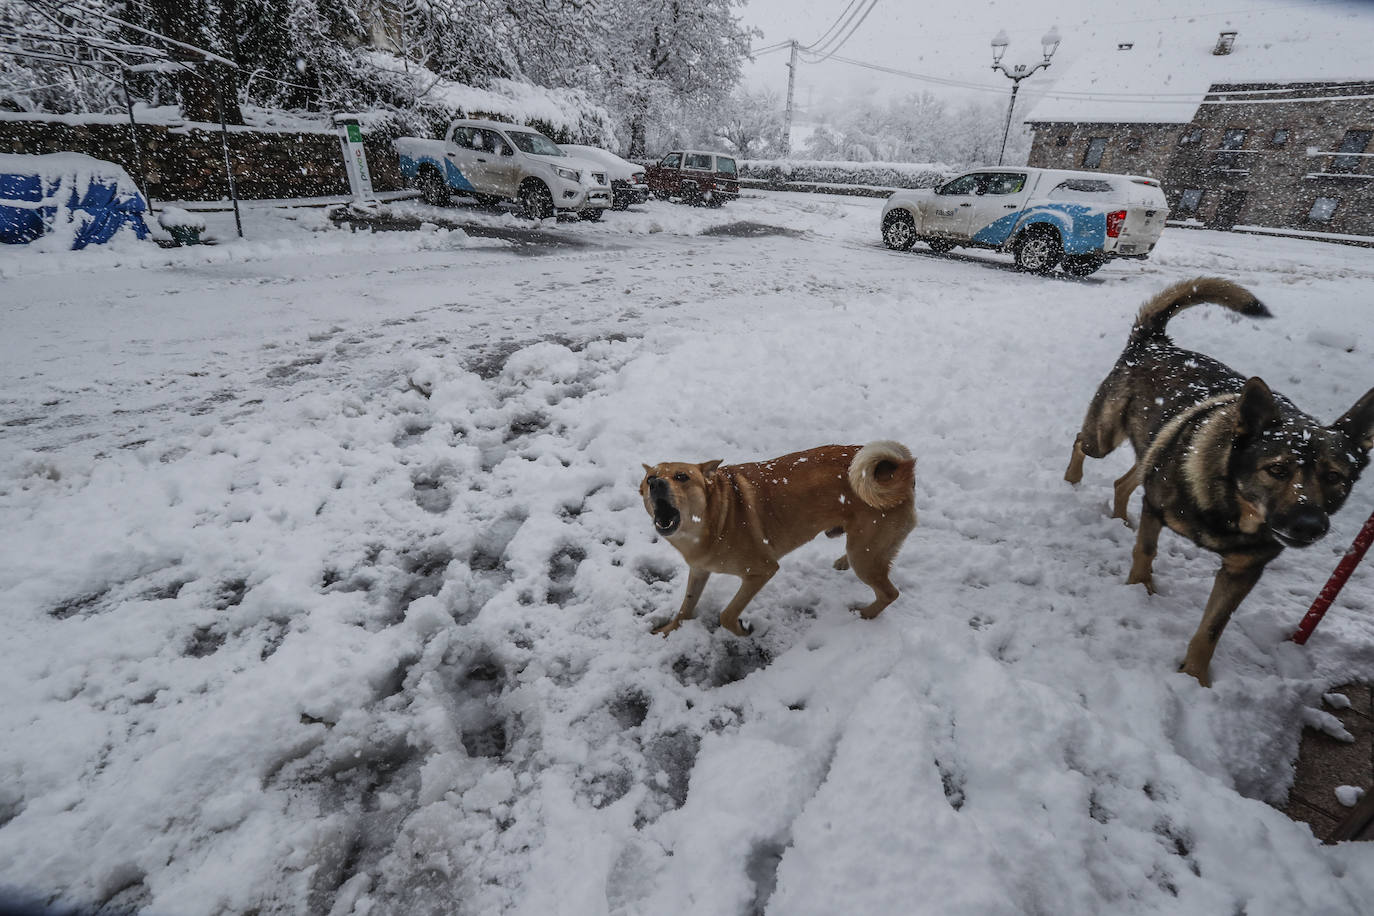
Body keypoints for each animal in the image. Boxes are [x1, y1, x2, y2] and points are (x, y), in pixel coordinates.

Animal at [637, 444, 917, 637]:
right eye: (650, 478)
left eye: (682, 477)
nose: (656, 484)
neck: (712, 518)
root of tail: (899, 470)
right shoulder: (698, 570)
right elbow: (686, 606)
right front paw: (669, 629)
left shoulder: (762, 571)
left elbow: (727, 614)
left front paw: (743, 631)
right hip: (863, 547)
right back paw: (842, 562)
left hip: (866, 555)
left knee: (890, 593)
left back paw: (864, 615)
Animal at [1066, 276, 1374, 683]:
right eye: (1277, 469)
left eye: (1335, 476)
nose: (1309, 525)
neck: (1230, 507)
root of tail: (1154, 343)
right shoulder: (1156, 508)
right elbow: (1145, 552)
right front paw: (1139, 590)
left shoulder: (1243, 571)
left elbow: (1213, 627)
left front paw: (1195, 676)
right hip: (1105, 436)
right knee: (1082, 443)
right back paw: (1071, 480)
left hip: (1152, 449)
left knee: (1124, 481)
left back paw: (1119, 518)